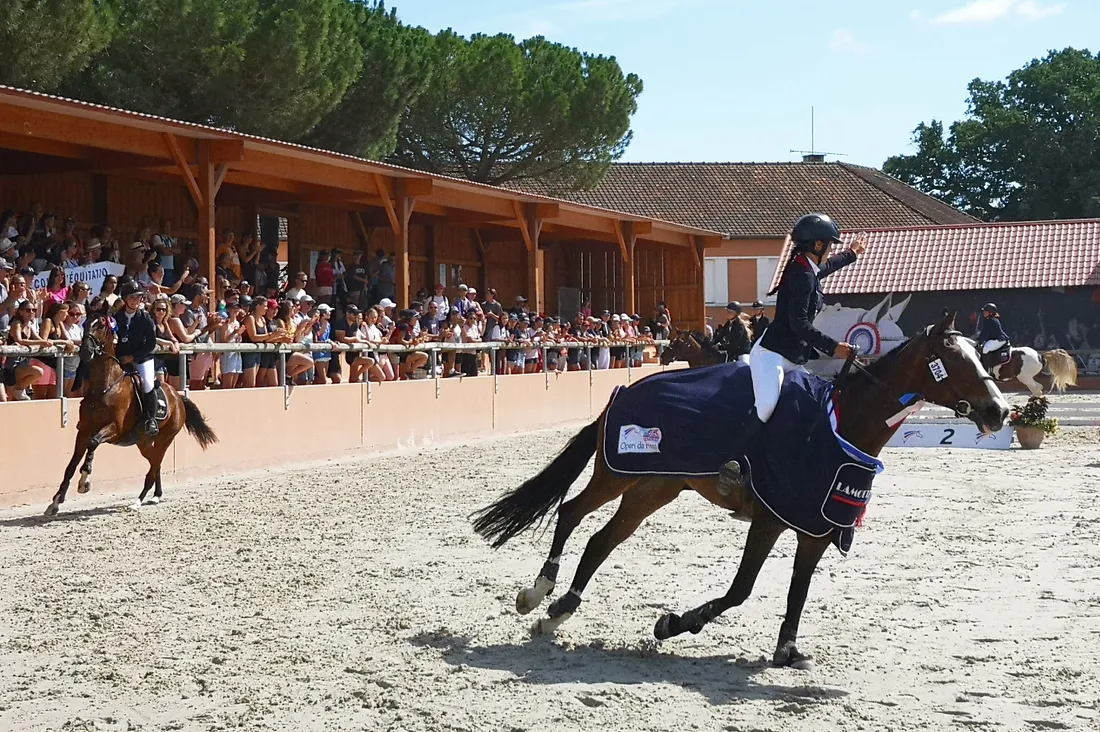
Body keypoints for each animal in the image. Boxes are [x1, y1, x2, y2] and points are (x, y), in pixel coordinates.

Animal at [46, 312, 217, 512]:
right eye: (85, 324)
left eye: (101, 325)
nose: (85, 351)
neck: (103, 387)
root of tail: (177, 396)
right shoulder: (84, 431)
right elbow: (71, 466)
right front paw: (56, 502)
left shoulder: (114, 430)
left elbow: (93, 443)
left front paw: (84, 482)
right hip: (143, 441)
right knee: (155, 463)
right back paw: (156, 495)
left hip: (165, 438)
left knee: (155, 465)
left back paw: (138, 501)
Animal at [468, 310, 1007, 669]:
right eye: (950, 357)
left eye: (980, 355)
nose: (998, 411)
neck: (842, 425)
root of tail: (626, 389)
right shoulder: (770, 519)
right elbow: (741, 590)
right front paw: (672, 624)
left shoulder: (813, 528)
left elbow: (797, 592)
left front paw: (788, 650)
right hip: (617, 472)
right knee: (571, 513)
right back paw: (538, 593)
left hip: (653, 489)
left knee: (603, 539)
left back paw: (559, 611)